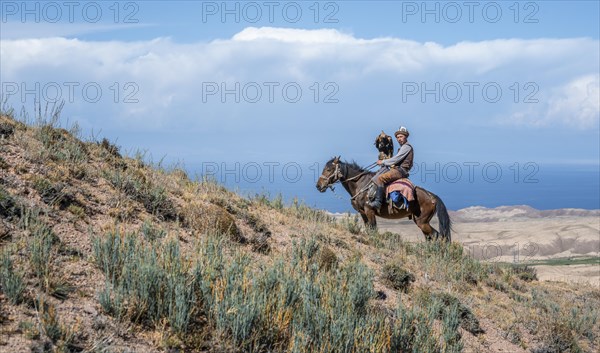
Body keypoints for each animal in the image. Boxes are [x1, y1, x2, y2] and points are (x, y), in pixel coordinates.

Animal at [316, 157, 452, 242]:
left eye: (328, 169)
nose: (318, 186)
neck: (361, 184)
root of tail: (431, 196)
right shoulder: (363, 213)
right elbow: (368, 229)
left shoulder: (370, 211)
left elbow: (373, 230)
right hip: (420, 221)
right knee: (430, 237)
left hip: (422, 222)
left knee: (436, 235)